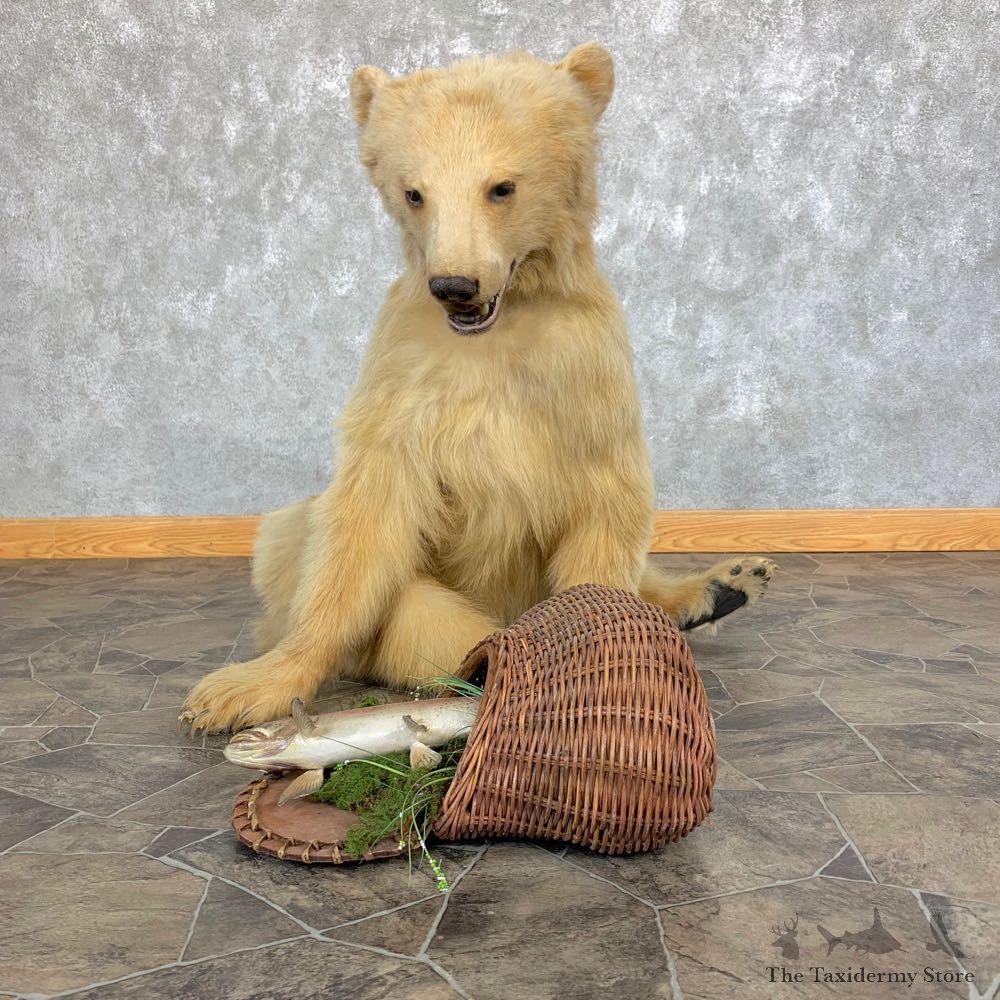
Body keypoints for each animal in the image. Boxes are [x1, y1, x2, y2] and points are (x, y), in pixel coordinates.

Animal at [180, 42, 775, 734]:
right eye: (414, 192)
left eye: (502, 186)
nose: (455, 286)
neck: (492, 333)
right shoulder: (404, 380)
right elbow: (367, 524)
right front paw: (241, 688)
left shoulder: (583, 378)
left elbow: (605, 510)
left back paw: (726, 582)